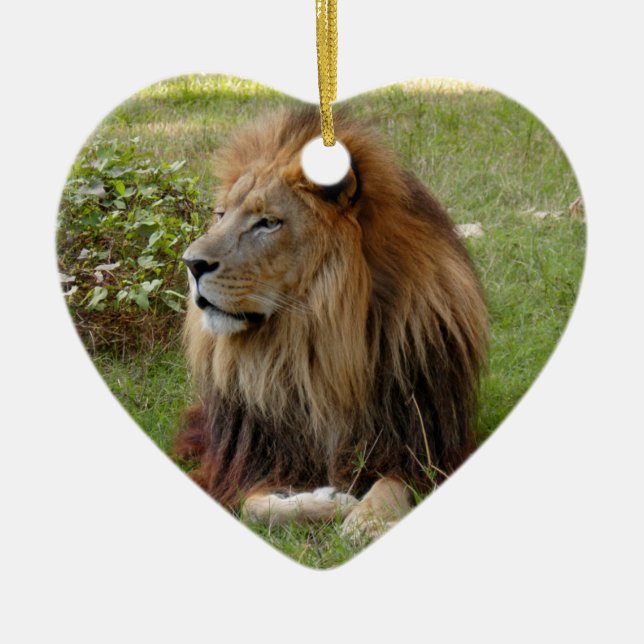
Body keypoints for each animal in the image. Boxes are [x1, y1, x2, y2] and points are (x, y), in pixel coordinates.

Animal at [174, 106, 488, 538]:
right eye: (220, 215)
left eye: (268, 223)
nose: (191, 264)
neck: (313, 342)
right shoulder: (253, 460)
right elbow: (256, 508)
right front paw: (330, 501)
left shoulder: (421, 444)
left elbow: (393, 483)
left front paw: (367, 519)